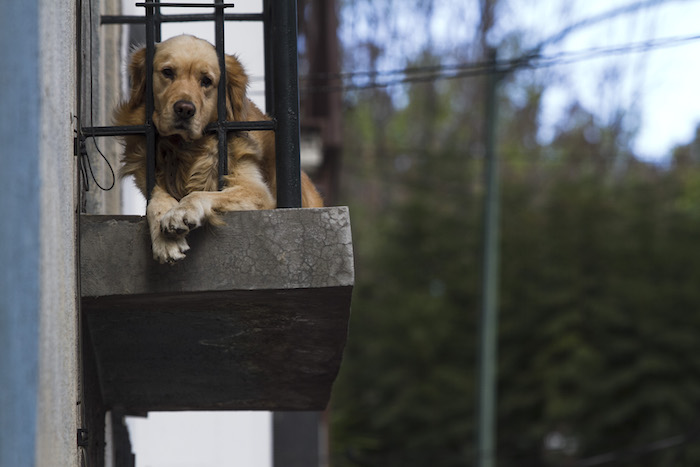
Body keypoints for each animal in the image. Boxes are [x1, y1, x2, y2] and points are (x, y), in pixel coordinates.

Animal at [115, 33, 322, 264]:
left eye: (206, 81)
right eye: (167, 72)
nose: (184, 109)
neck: (186, 150)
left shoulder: (257, 191)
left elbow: (202, 194)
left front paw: (181, 211)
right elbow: (156, 198)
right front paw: (164, 241)